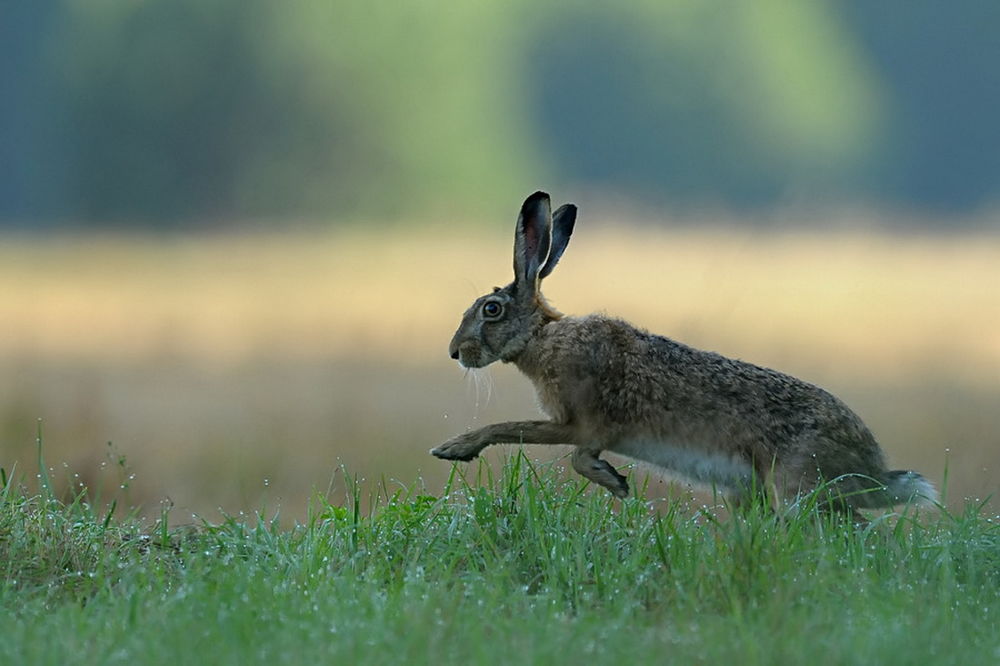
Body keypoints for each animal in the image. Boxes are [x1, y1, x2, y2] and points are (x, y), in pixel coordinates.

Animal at [431, 191, 936, 515]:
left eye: (491, 309)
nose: (455, 352)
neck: (543, 338)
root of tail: (874, 468)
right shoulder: (586, 429)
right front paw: (614, 480)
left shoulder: (577, 423)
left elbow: (523, 433)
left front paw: (454, 449)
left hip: (797, 487)